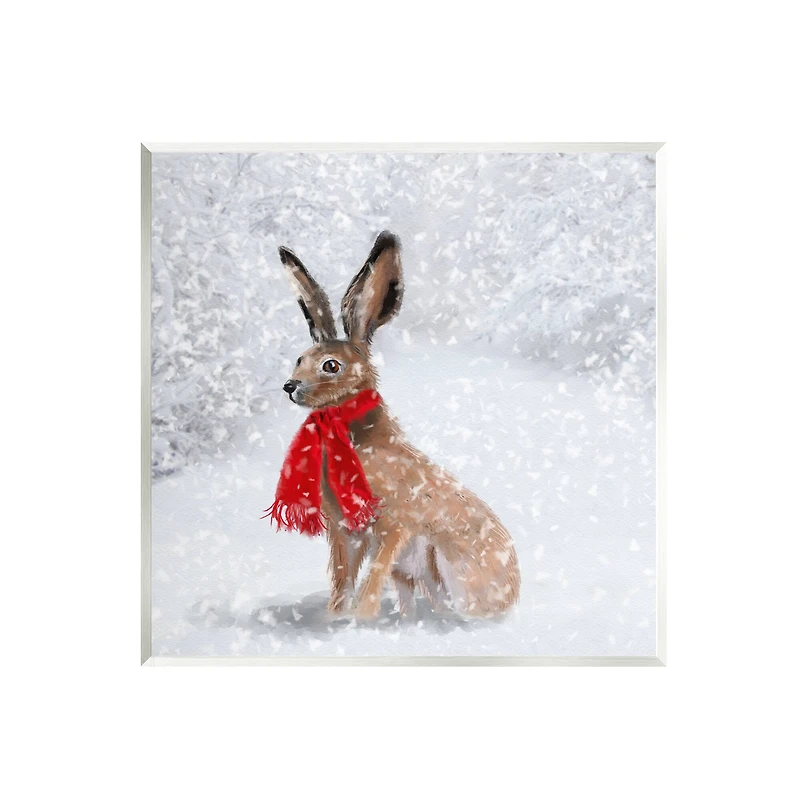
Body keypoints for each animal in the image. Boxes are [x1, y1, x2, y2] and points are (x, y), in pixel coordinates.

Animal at [277, 230, 520, 619]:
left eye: (331, 366)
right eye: (300, 358)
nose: (290, 386)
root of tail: (513, 595)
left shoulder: (394, 526)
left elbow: (372, 579)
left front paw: (360, 619)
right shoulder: (344, 534)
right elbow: (342, 579)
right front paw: (336, 617)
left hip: (443, 563)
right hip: (412, 576)